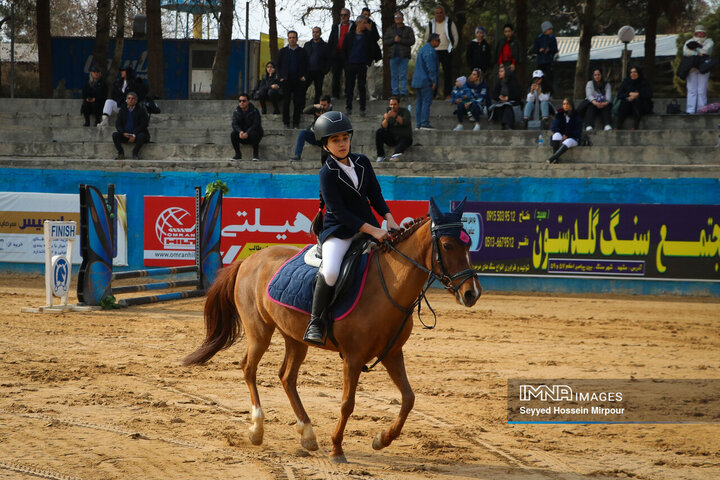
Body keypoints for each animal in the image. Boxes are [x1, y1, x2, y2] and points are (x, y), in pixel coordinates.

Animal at [183, 199, 480, 462]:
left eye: (468, 244)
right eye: (447, 245)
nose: (472, 293)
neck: (387, 285)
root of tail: (249, 259)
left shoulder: (393, 353)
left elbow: (408, 399)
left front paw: (382, 439)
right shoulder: (353, 357)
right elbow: (347, 403)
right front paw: (337, 448)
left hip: (295, 337)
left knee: (287, 377)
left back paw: (307, 434)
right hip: (259, 332)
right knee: (249, 368)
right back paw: (257, 428)